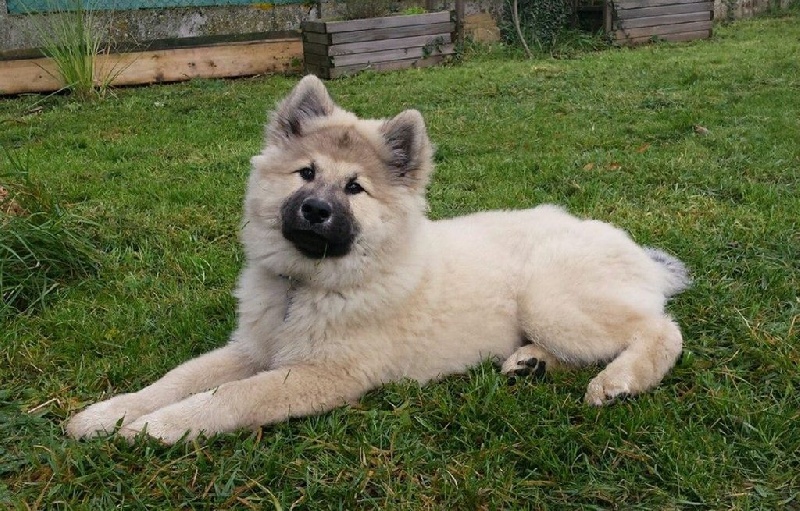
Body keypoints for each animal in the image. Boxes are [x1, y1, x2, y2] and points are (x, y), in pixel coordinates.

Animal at [66, 75, 690, 444]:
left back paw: (618, 381)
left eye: (355, 188)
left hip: (550, 299)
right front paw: (110, 414)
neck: (306, 287)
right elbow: (179, 377)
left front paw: (153, 428)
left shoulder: (323, 374)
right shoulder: (252, 349)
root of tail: (638, 254)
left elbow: (231, 399)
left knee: (662, 331)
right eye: (306, 173)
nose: (315, 210)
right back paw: (530, 364)